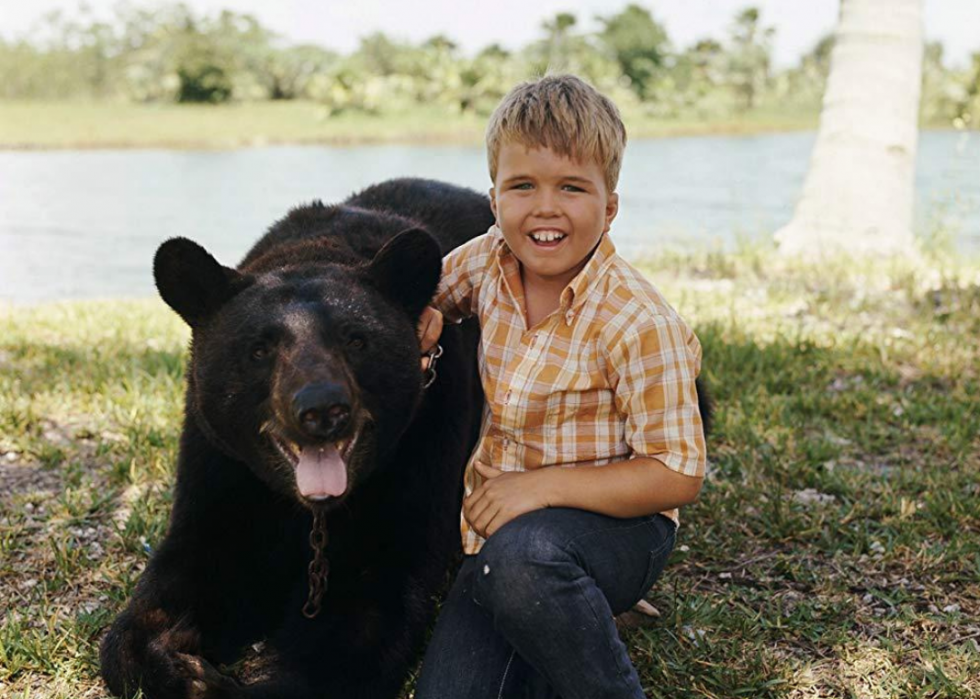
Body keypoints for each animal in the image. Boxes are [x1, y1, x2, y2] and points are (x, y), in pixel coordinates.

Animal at [99, 178, 490, 696]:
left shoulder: (422, 445)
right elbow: (179, 579)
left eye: (356, 340)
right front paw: (186, 670)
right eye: (259, 350)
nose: (322, 409)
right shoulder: (221, 463)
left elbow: (366, 614)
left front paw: (234, 684)